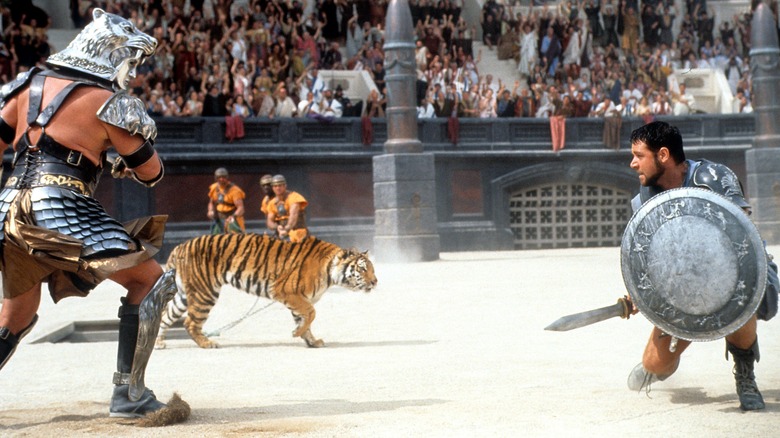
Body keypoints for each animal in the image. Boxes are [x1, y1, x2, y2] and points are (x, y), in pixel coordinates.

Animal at [154, 233, 376, 350]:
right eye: (363, 269)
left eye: (372, 269)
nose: (375, 281)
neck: (330, 272)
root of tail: (179, 247)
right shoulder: (287, 291)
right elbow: (311, 314)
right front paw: (297, 334)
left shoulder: (300, 299)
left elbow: (305, 319)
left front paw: (311, 340)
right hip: (205, 293)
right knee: (191, 322)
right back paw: (207, 343)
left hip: (183, 296)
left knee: (165, 315)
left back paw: (158, 343)